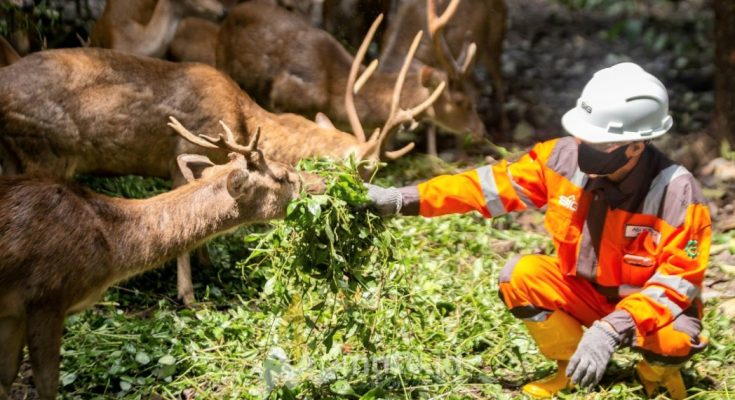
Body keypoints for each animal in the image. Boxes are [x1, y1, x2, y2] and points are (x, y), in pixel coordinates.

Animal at [0, 44, 436, 304]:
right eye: (366, 167)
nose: (359, 196)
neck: (241, 119)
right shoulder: (183, 150)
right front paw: (189, 296)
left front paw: (209, 263)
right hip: (44, 151)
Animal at [0, 121, 322, 400]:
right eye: (282, 176)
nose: (319, 181)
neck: (108, 246)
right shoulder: (46, 296)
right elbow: (46, 385)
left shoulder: (14, 312)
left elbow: (7, 378)